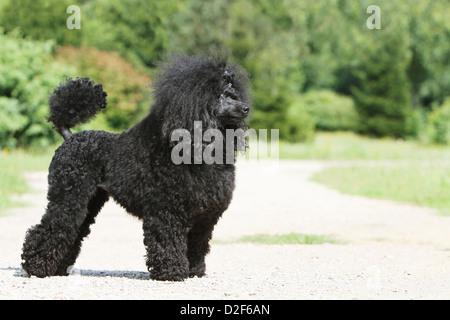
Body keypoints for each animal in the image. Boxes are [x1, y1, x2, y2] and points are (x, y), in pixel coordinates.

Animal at [21, 54, 251, 280]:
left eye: (234, 94)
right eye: (220, 95)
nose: (246, 108)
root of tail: (70, 137)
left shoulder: (204, 218)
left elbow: (197, 245)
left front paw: (194, 271)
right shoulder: (165, 212)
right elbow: (167, 241)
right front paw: (172, 272)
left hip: (89, 199)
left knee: (73, 231)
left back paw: (58, 269)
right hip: (68, 196)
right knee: (51, 228)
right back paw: (36, 268)